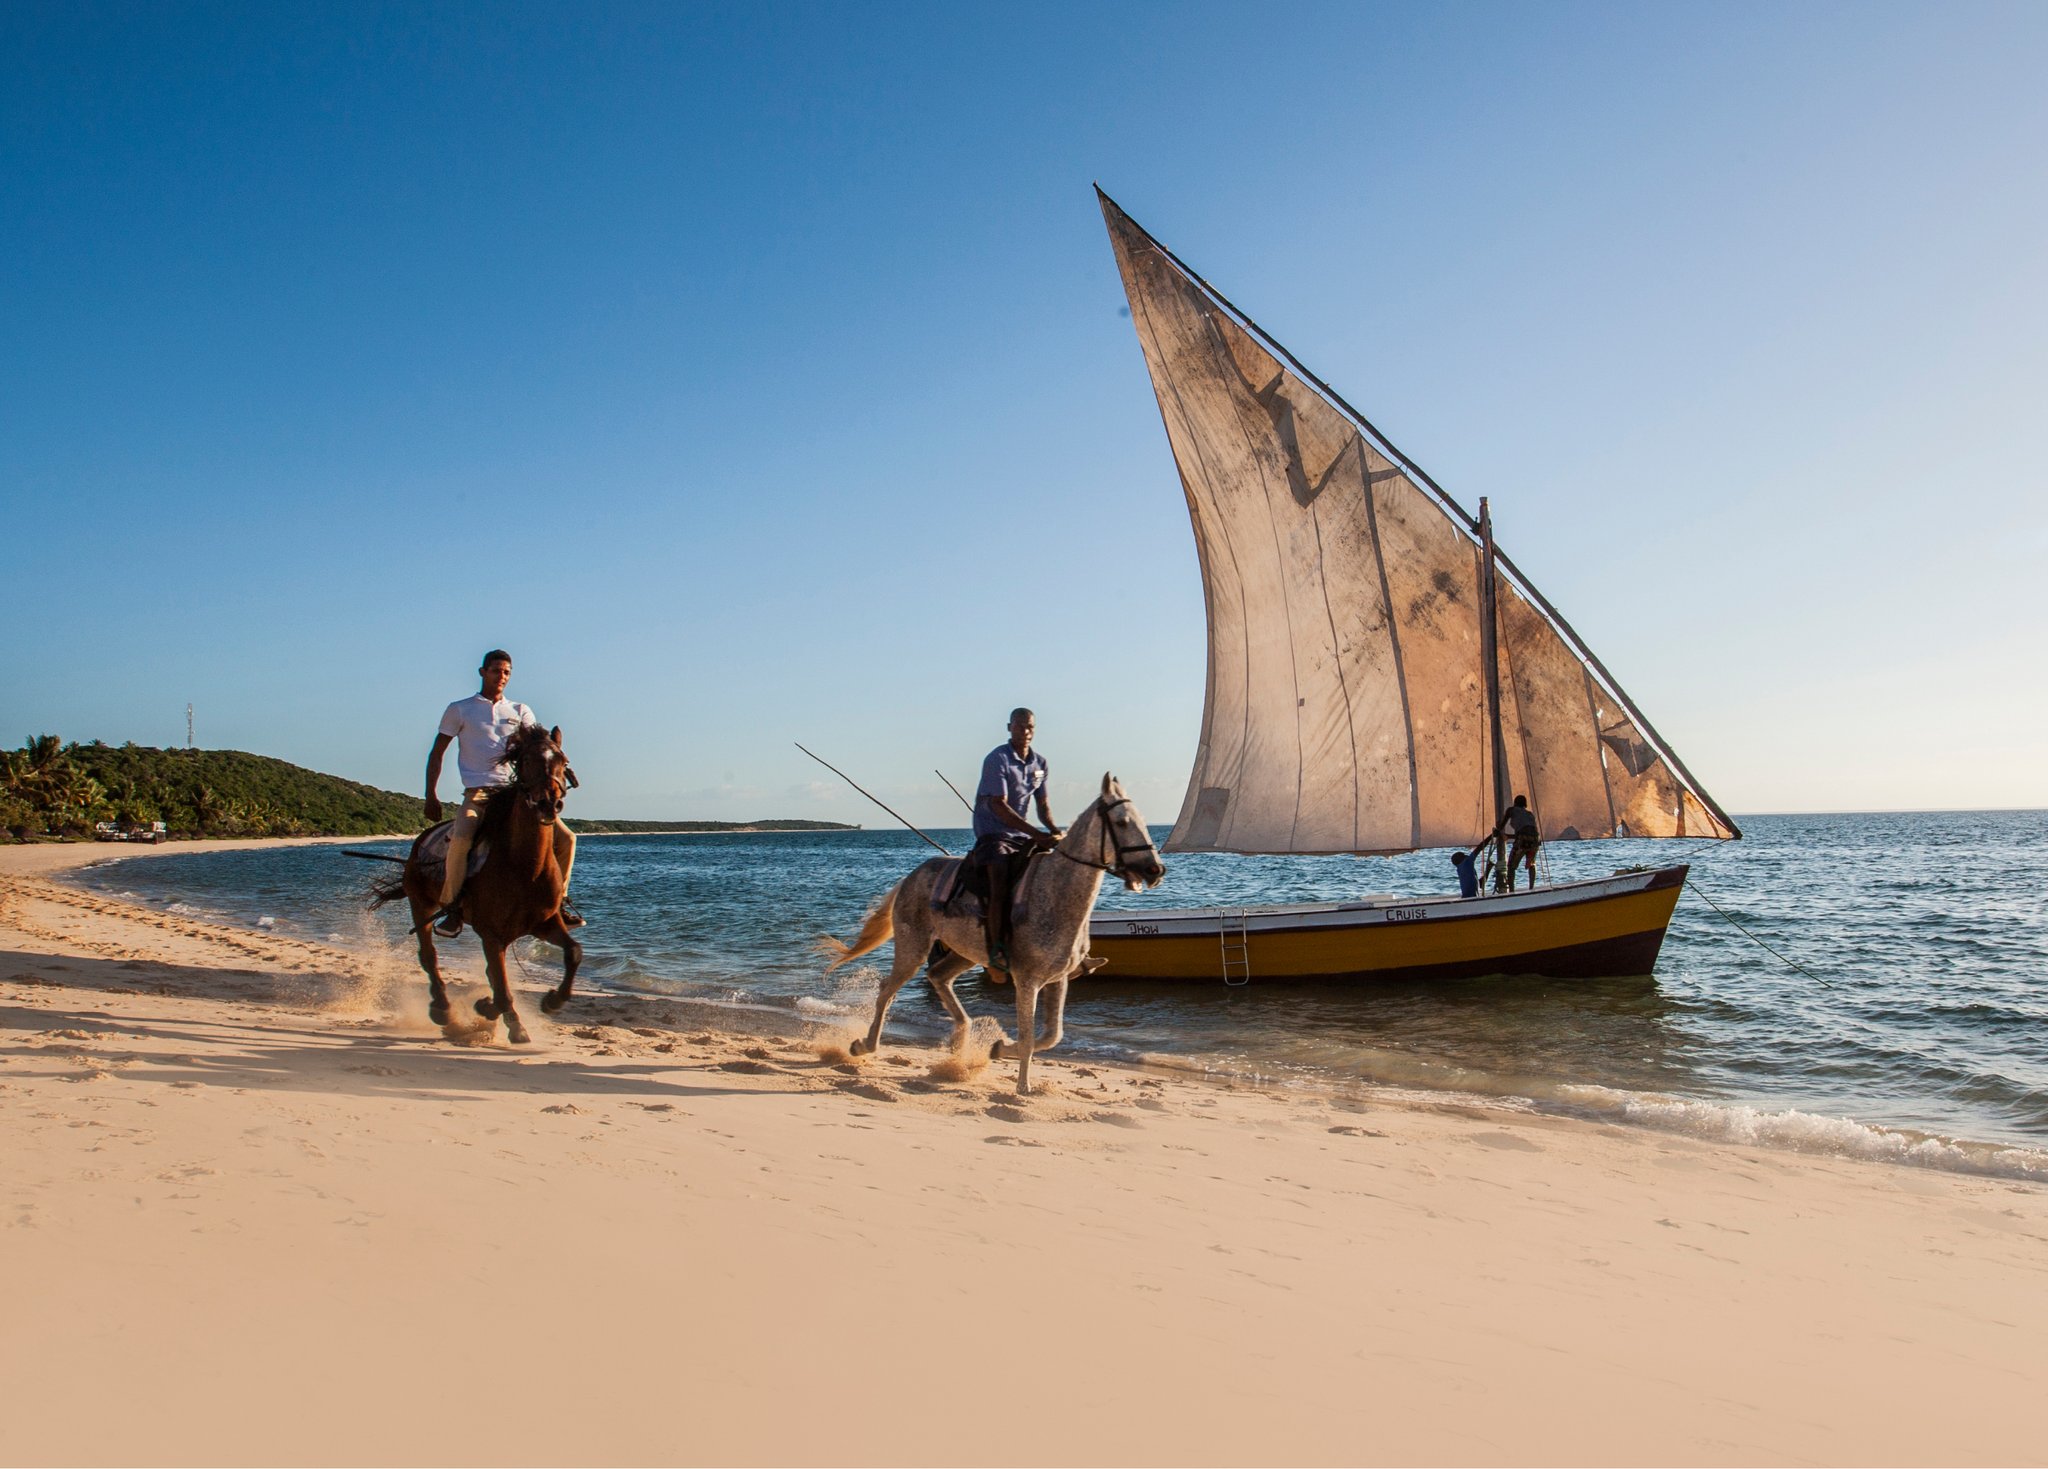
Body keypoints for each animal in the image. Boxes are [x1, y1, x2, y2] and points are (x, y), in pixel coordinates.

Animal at [372, 723, 582, 1045]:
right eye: (525, 760)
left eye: (563, 760)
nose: (549, 803)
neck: (525, 866)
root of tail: (422, 839)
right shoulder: (491, 934)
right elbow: (502, 986)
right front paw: (510, 1022)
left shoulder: (545, 923)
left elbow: (573, 953)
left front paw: (551, 1001)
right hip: (421, 905)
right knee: (429, 956)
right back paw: (443, 1010)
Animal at [823, 773, 1165, 1094]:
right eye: (1122, 822)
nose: (1155, 870)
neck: (1055, 893)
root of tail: (910, 877)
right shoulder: (1027, 980)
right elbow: (1028, 1035)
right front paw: (1023, 1087)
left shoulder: (1059, 980)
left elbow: (1052, 1035)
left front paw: (999, 1048)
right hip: (914, 946)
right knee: (887, 990)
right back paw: (864, 1045)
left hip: (964, 953)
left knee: (938, 977)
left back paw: (960, 1039)